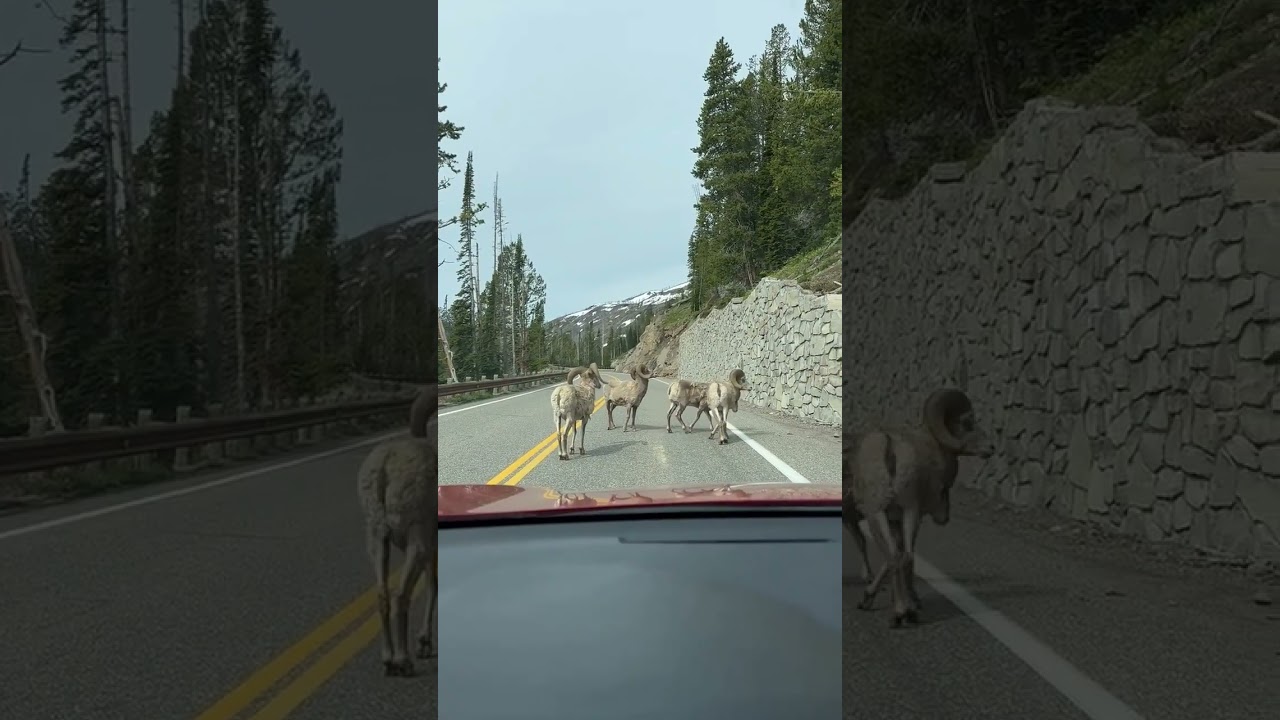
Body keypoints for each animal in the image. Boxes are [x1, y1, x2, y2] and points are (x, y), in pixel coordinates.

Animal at [356, 385, 438, 677]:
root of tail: (385, 468)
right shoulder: (430, 544)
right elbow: (434, 586)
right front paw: (424, 642)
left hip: (376, 539)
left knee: (383, 595)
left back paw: (387, 659)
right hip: (416, 540)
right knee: (402, 595)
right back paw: (403, 661)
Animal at [843, 388, 993, 627]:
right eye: (967, 423)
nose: (991, 448)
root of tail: (891, 449)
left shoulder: (896, 517)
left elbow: (897, 556)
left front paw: (877, 598)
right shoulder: (915, 514)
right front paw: (910, 601)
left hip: (887, 514)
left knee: (897, 555)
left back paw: (902, 612)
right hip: (888, 512)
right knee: (899, 556)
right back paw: (901, 613)